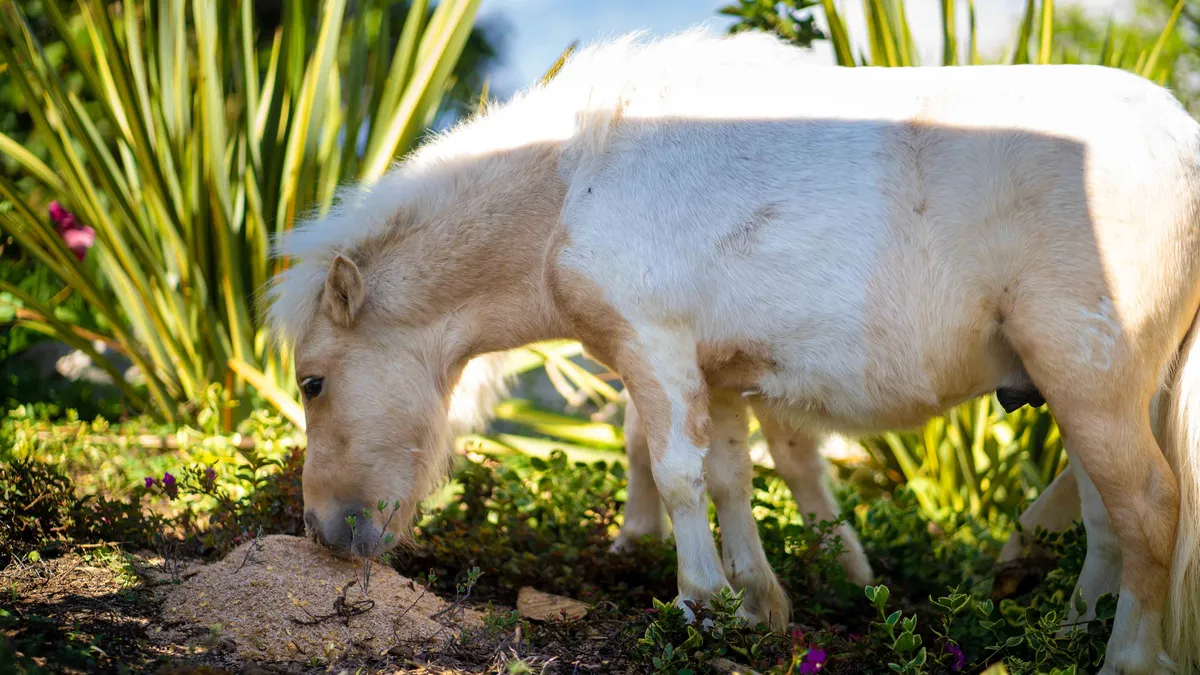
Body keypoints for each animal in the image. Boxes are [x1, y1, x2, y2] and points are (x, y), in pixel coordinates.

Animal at [267, 28, 1200, 674]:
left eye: (313, 382)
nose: (321, 532)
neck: (572, 189)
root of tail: (1179, 139)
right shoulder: (713, 375)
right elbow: (727, 478)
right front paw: (757, 605)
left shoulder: (654, 351)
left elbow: (677, 474)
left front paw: (698, 603)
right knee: (1103, 513)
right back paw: (1065, 618)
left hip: (1088, 374)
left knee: (1150, 505)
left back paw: (1121, 653)